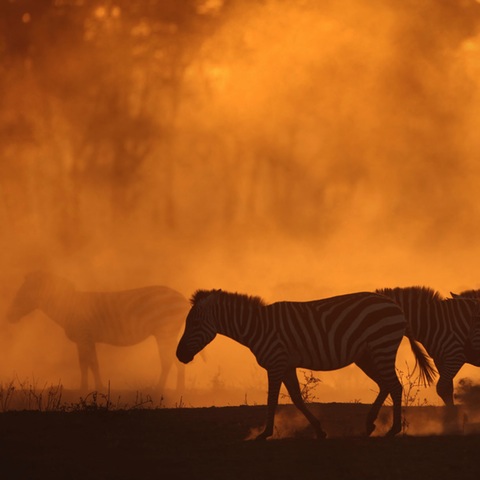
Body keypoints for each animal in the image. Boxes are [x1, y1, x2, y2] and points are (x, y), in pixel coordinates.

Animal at [7, 272, 191, 392]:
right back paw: (180, 389)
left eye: (22, 294)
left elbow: (87, 363)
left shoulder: (84, 336)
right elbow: (89, 364)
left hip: (165, 332)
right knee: (175, 360)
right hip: (169, 334)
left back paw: (159, 388)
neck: (68, 307)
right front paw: (93, 387)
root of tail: (183, 299)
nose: (8, 317)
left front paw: (88, 388)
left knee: (166, 361)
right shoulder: (87, 339)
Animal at [176, 286, 436, 440]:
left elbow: (272, 399)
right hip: (367, 355)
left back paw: (393, 429)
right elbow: (297, 398)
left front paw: (265, 433)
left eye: (194, 323)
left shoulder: (276, 362)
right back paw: (371, 425)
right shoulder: (286, 364)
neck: (257, 327)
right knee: (386, 385)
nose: (179, 355)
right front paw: (319, 430)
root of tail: (396, 307)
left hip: (381, 346)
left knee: (395, 386)